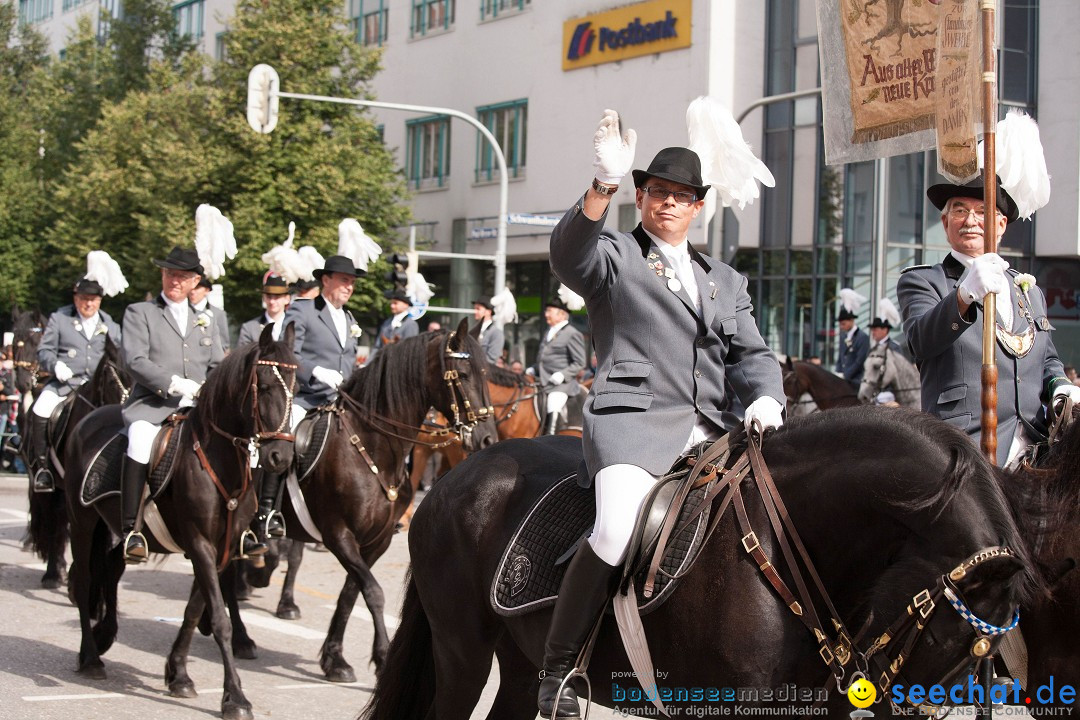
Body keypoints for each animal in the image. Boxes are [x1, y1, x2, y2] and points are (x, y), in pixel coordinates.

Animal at [63, 328, 300, 720]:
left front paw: (179, 675)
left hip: (115, 530)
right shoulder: (200, 543)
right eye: (264, 386)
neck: (219, 458)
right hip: (81, 521)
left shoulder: (220, 548)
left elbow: (193, 611)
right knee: (83, 582)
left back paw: (103, 636)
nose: (280, 457)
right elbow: (218, 617)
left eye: (295, 385)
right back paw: (91, 657)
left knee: (110, 569)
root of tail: (89, 418)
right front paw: (235, 698)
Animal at [231, 321, 496, 682]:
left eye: (487, 373)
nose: (487, 438)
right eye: (464, 373)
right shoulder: (339, 535)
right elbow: (373, 593)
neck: (373, 448)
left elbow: (349, 594)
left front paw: (335, 658)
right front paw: (382, 656)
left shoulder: (375, 542)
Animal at [365, 408, 1036, 716]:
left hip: (520, 661)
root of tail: (454, 477)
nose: (878, 704)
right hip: (463, 653)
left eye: (981, 659)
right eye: (941, 633)